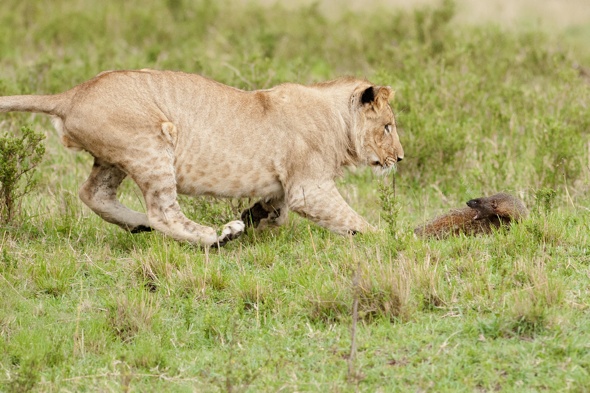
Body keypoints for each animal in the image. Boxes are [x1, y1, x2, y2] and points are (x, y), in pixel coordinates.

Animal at [0, 69, 404, 243]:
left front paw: (254, 217)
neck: (337, 120)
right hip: (152, 143)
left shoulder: (286, 187)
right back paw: (218, 236)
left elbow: (276, 212)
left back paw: (139, 225)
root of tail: (72, 94)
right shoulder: (310, 187)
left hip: (114, 158)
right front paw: (392, 241)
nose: (399, 159)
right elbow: (352, 218)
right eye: (387, 126)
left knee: (92, 193)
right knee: (164, 213)